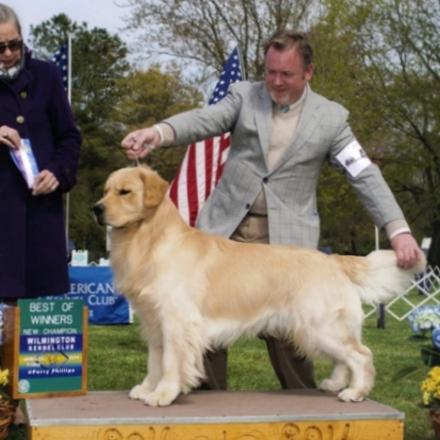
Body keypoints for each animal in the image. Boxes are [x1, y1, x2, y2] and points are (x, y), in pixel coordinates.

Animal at [93, 167, 426, 408]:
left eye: (125, 192)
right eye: (105, 191)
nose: (96, 209)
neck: (149, 239)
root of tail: (333, 260)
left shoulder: (177, 321)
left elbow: (171, 363)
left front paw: (163, 394)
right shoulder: (153, 322)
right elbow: (155, 360)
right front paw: (146, 388)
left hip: (320, 326)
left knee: (362, 355)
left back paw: (355, 392)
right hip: (315, 330)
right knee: (345, 358)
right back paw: (333, 384)